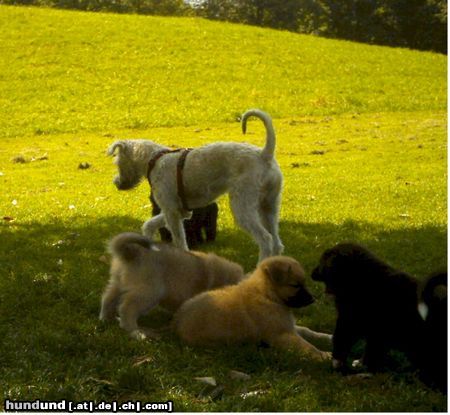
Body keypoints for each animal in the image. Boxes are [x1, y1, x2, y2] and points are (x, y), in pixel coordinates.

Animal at [100, 232, 244, 340]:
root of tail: (133, 252)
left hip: (116, 283)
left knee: (107, 300)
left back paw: (105, 319)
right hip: (149, 293)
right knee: (126, 309)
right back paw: (135, 332)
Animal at [108, 109, 284, 262]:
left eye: (117, 162)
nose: (117, 184)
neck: (154, 159)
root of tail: (264, 155)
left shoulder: (171, 212)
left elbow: (179, 240)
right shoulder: (178, 211)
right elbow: (150, 224)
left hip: (243, 205)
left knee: (266, 239)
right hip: (269, 206)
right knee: (276, 242)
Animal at [174, 255, 332, 360]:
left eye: (303, 283)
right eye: (295, 285)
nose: (313, 299)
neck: (266, 294)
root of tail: (176, 322)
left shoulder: (288, 326)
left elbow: (307, 331)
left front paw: (327, 337)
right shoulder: (281, 334)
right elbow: (307, 346)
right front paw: (324, 355)